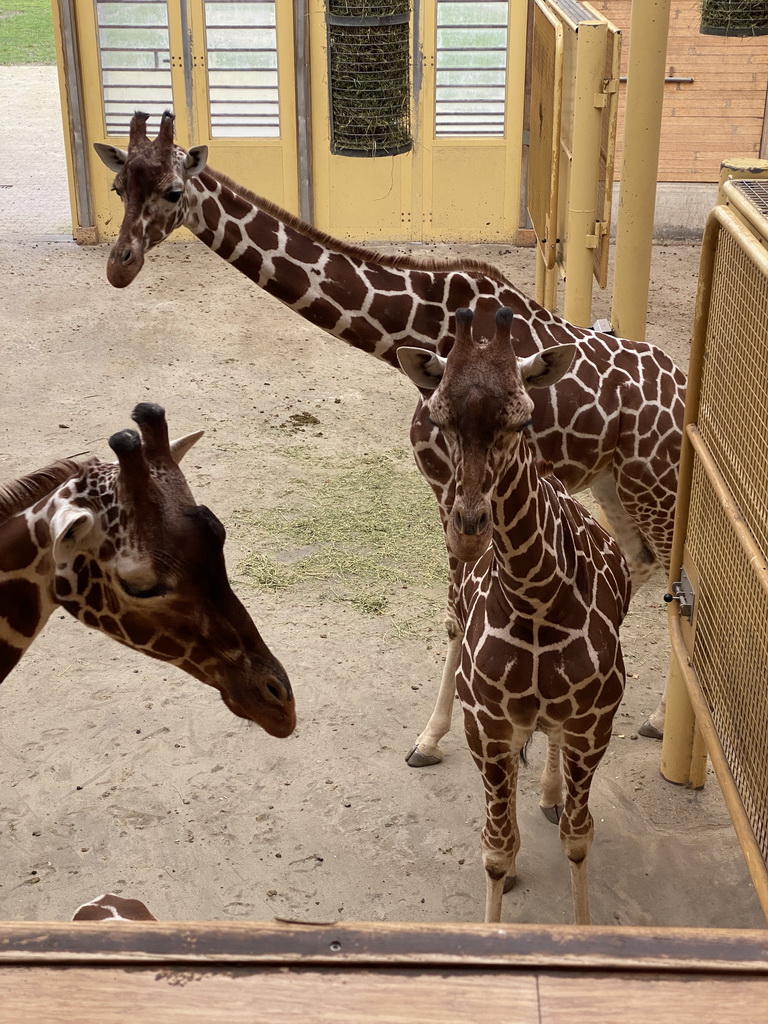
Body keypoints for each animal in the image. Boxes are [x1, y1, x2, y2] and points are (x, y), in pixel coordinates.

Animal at [94, 110, 684, 745]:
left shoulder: (452, 485)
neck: (416, 325)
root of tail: (684, 393)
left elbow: (457, 609)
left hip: (657, 485)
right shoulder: (453, 489)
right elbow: (458, 608)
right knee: (642, 561)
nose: (119, 266)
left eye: (173, 192)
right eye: (119, 188)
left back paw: (656, 718)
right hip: (613, 480)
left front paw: (433, 734)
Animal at [397, 307, 630, 925]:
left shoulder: (592, 723)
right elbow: (497, 849)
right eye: (440, 418)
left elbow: (578, 836)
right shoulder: (489, 727)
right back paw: (428, 742)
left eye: (523, 419)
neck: (535, 600)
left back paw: (548, 793)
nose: (468, 527)